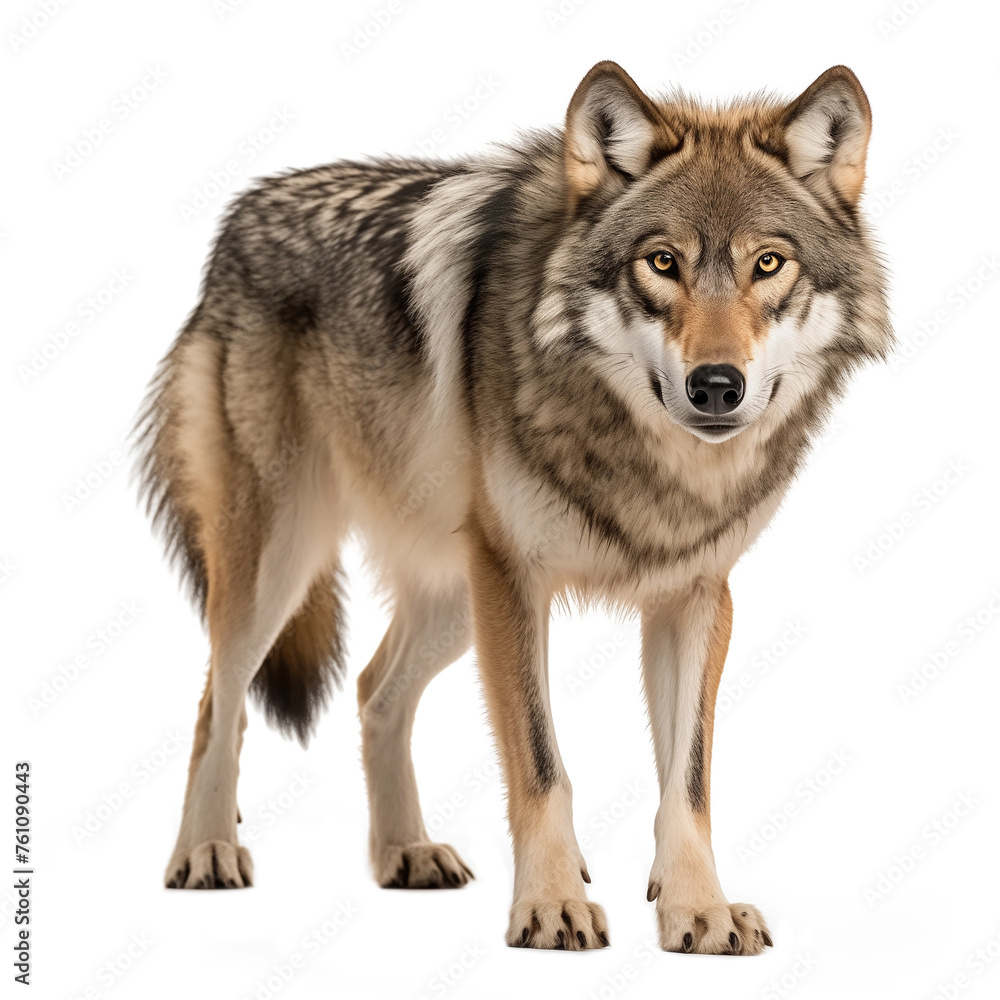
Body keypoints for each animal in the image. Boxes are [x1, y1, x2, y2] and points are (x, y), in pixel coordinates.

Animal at [137, 60, 891, 954]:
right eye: (662, 262)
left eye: (769, 263)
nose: (716, 385)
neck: (649, 463)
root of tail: (241, 213)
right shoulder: (515, 579)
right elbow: (540, 764)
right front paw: (553, 905)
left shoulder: (694, 595)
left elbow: (690, 781)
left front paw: (700, 909)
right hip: (286, 564)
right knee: (217, 701)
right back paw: (207, 850)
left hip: (454, 598)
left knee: (373, 690)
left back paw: (406, 851)